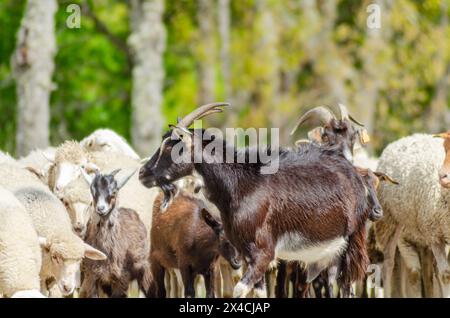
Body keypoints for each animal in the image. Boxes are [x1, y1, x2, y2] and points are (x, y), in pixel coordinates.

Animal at [79, 169, 153, 298]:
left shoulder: (122, 278)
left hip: (143, 272)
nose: (101, 208)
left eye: (114, 192)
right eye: (93, 192)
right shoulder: (91, 276)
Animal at [139, 102, 370, 298]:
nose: (143, 173)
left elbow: (239, 290)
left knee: (347, 286)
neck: (241, 185)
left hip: (352, 244)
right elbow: (260, 292)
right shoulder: (246, 253)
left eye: (171, 146)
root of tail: (352, 171)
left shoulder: (264, 254)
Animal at [376, 134, 450, 298]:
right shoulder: (434, 234)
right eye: (445, 148)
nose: (442, 176)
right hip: (390, 221)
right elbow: (445, 275)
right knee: (388, 263)